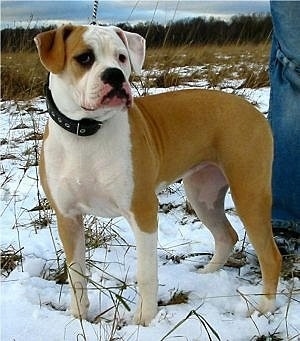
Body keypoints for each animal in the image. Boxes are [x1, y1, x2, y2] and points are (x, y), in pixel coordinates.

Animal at [34, 24, 282, 324]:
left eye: (121, 57)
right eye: (84, 58)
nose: (115, 75)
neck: (86, 133)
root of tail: (251, 109)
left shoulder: (142, 211)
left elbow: (146, 273)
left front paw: (145, 319)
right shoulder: (68, 218)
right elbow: (76, 274)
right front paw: (78, 316)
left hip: (249, 192)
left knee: (270, 255)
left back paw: (264, 307)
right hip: (203, 194)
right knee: (227, 235)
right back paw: (207, 274)